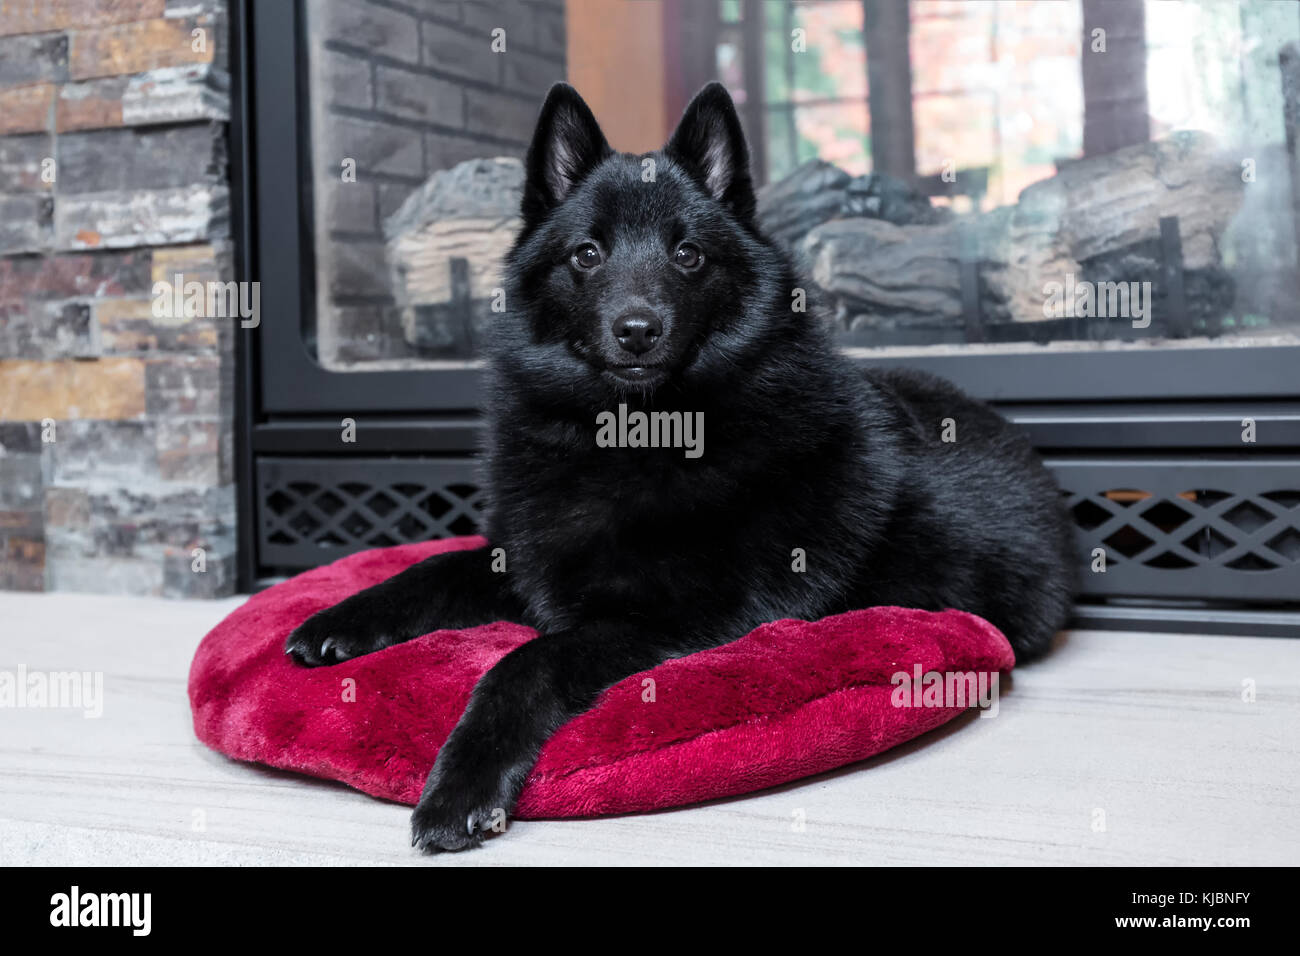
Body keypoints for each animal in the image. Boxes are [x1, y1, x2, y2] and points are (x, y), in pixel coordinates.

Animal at [287, 82, 1076, 853]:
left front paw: (460, 788)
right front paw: (337, 620)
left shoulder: (674, 616)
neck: (629, 435)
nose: (637, 331)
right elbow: (430, 568)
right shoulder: (528, 558)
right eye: (587, 253)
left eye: (689, 254)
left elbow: (524, 662)